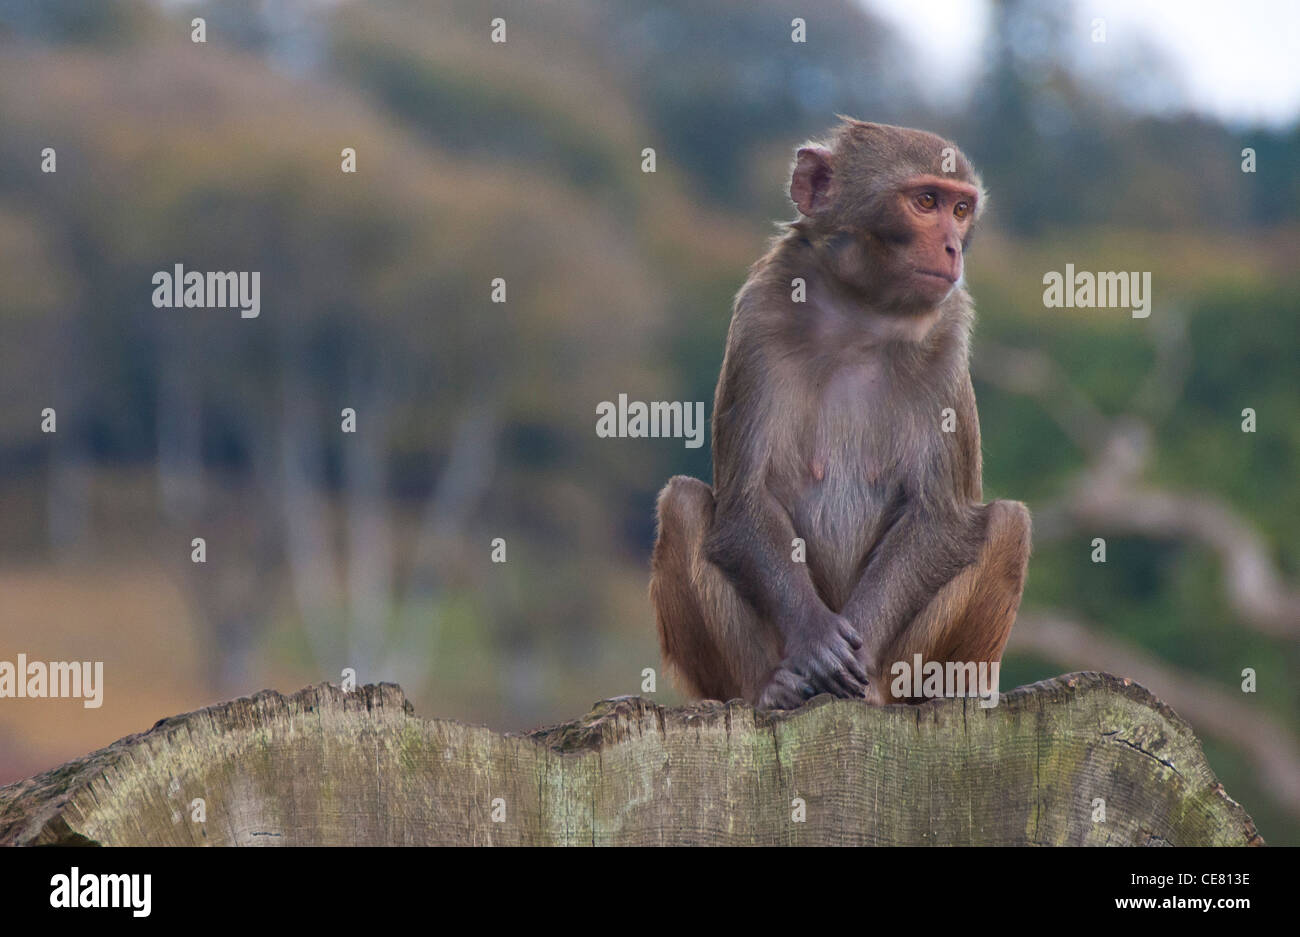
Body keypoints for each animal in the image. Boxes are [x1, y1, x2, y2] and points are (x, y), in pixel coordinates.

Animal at [655, 120, 1029, 712]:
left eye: (961, 209)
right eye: (926, 201)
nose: (952, 247)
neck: (862, 313)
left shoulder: (948, 338)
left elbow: (939, 516)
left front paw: (850, 651)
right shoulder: (761, 313)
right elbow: (745, 501)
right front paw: (817, 643)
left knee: (1009, 522)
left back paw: (881, 691)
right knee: (684, 504)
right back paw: (771, 689)